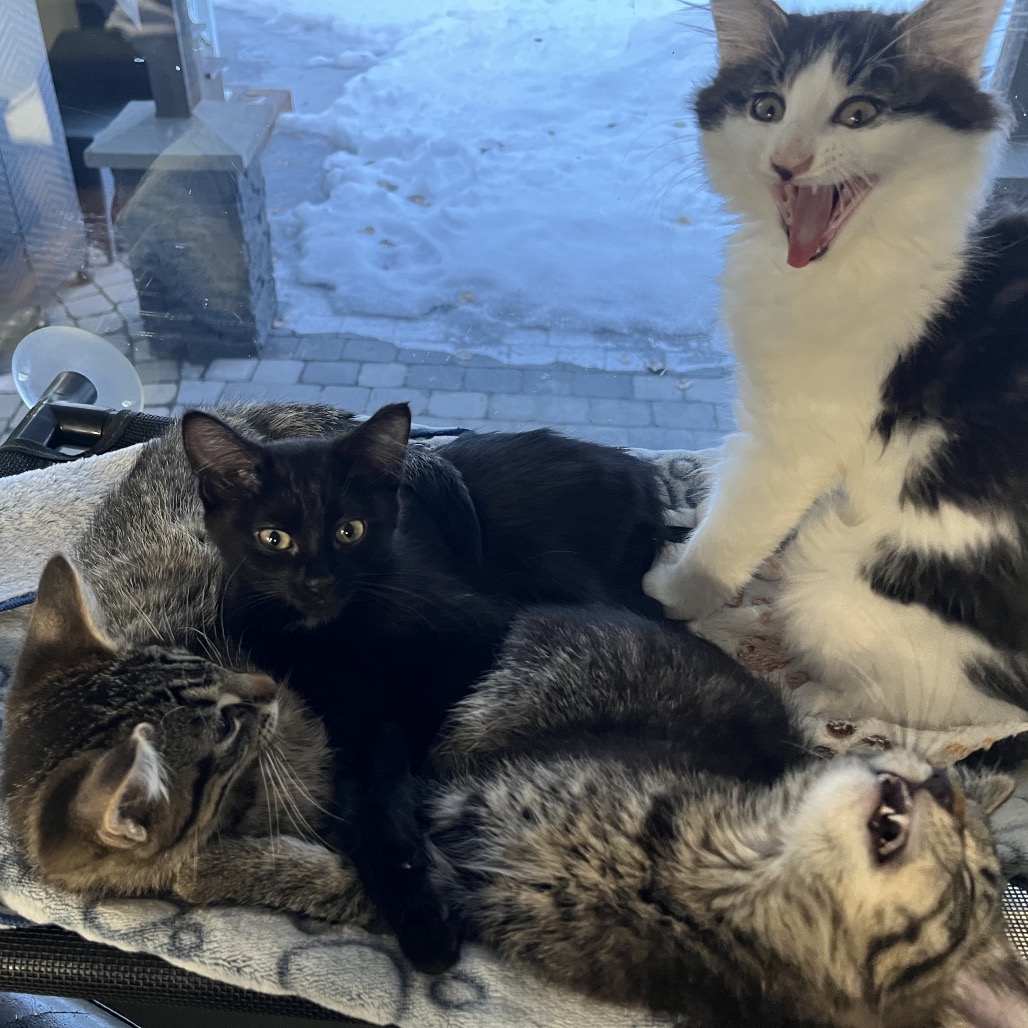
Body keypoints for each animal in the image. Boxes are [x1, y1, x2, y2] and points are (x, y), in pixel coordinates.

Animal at [179, 401, 672, 971]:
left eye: (350, 531)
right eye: (272, 538)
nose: (319, 582)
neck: (335, 634)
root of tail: (638, 471)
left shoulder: (478, 635)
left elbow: (391, 758)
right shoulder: (333, 711)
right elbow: (361, 794)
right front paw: (415, 910)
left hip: (562, 575)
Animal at [642, 0, 1028, 731]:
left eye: (859, 114)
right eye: (767, 107)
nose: (788, 162)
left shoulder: (797, 438)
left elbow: (733, 526)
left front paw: (675, 586)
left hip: (831, 573)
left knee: (958, 710)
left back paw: (821, 699)